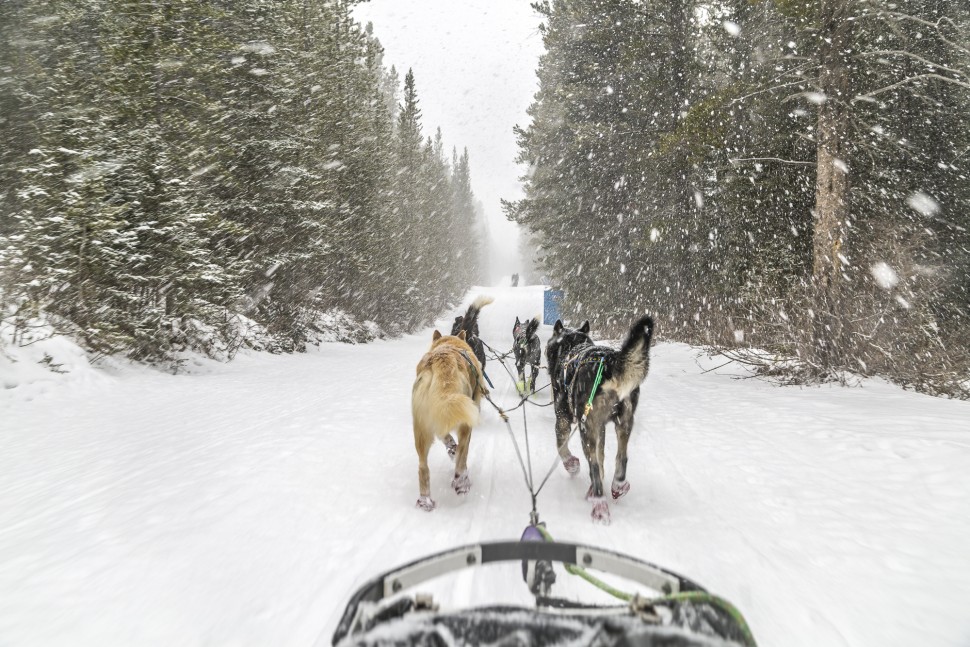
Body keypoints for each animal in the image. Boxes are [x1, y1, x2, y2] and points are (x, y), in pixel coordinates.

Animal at [410, 330, 484, 512]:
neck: (449, 344)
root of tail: (442, 361)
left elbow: (445, 437)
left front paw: (451, 447)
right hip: (465, 423)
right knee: (461, 458)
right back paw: (461, 482)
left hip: (421, 430)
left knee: (423, 467)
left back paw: (425, 500)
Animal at [548, 316, 656, 524]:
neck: (572, 345)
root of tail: (610, 364)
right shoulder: (601, 428)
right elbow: (602, 455)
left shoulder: (563, 419)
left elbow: (561, 447)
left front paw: (571, 465)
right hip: (624, 423)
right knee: (621, 458)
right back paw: (617, 486)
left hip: (586, 429)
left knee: (594, 469)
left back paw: (599, 505)